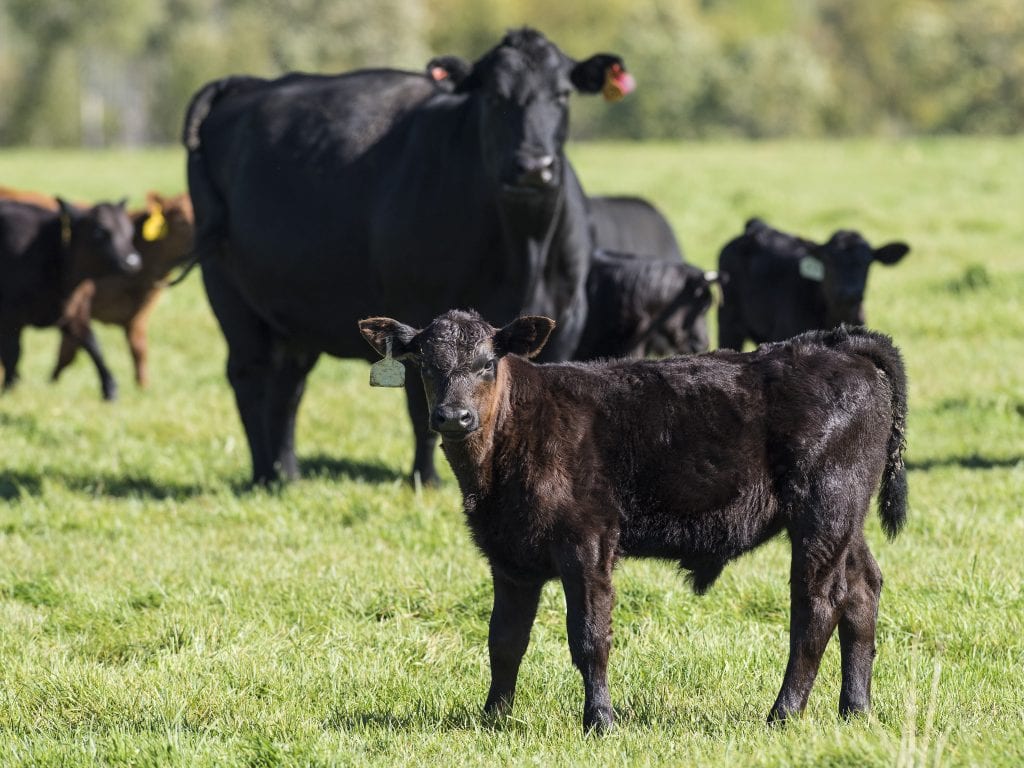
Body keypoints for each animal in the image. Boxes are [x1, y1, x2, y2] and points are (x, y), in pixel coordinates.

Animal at [0, 199, 142, 396]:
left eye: (130, 231)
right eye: (99, 231)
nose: (132, 262)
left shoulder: (74, 310)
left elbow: (92, 344)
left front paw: (110, 389)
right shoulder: (9, 317)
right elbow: (12, 354)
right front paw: (10, 388)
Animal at [52, 192, 194, 392]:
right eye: (181, 220)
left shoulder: (138, 316)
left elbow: (139, 351)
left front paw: (143, 389)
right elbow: (67, 352)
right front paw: (51, 385)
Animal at [184, 28, 635, 485]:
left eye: (562, 94)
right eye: (494, 96)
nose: (532, 166)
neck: (525, 249)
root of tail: (248, 84)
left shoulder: (566, 318)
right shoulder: (418, 313)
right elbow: (422, 408)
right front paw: (427, 480)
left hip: (291, 313)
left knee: (287, 384)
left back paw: (287, 474)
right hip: (226, 288)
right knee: (250, 375)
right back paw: (263, 473)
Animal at [360, 309, 908, 733]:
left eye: (487, 363)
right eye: (426, 365)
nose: (454, 417)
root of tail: (836, 342)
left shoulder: (587, 541)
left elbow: (589, 638)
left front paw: (600, 721)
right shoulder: (508, 555)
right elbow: (505, 639)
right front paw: (493, 718)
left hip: (824, 507)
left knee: (817, 605)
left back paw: (783, 714)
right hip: (846, 519)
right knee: (862, 590)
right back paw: (855, 711)